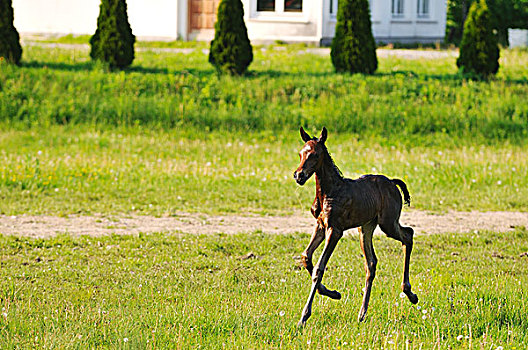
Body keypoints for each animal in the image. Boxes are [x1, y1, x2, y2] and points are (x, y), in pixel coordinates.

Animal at [292, 127, 416, 326]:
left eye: (315, 154)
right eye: (300, 153)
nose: (299, 175)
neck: (329, 191)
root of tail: (392, 182)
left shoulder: (335, 230)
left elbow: (319, 267)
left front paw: (304, 316)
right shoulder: (320, 225)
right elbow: (306, 256)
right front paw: (333, 293)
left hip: (388, 223)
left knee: (408, 234)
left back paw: (410, 293)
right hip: (365, 228)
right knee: (371, 263)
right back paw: (362, 313)